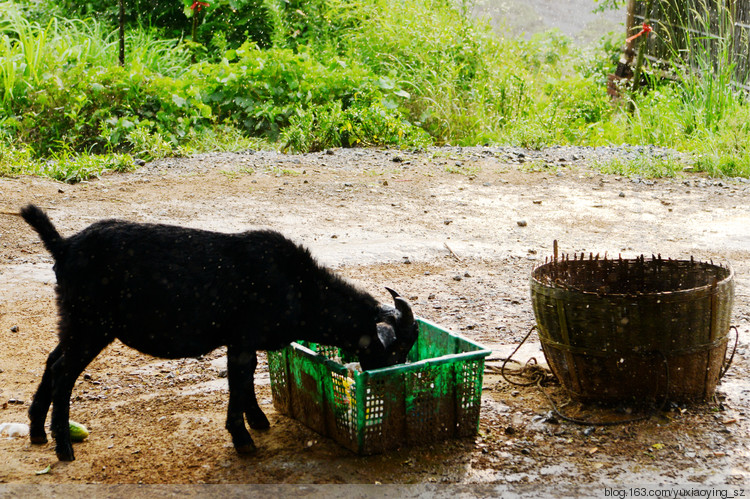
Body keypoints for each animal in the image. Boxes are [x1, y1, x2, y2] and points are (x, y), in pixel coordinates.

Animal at [20, 205, 420, 462]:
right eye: (396, 349)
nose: (391, 387)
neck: (299, 287)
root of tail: (63, 246)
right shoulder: (243, 338)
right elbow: (240, 380)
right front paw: (243, 439)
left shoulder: (241, 342)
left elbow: (246, 378)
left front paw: (256, 421)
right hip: (91, 325)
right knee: (64, 372)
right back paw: (63, 447)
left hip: (73, 321)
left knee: (51, 360)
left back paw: (38, 430)